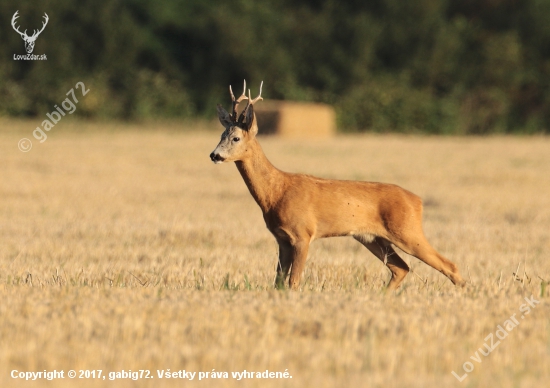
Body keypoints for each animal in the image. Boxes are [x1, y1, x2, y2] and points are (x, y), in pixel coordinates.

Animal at [210, 81, 466, 288]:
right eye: (221, 136)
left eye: (236, 138)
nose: (214, 155)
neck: (276, 192)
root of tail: (418, 201)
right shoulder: (281, 238)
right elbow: (279, 282)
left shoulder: (303, 233)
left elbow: (294, 281)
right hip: (371, 238)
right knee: (401, 268)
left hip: (407, 230)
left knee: (449, 265)